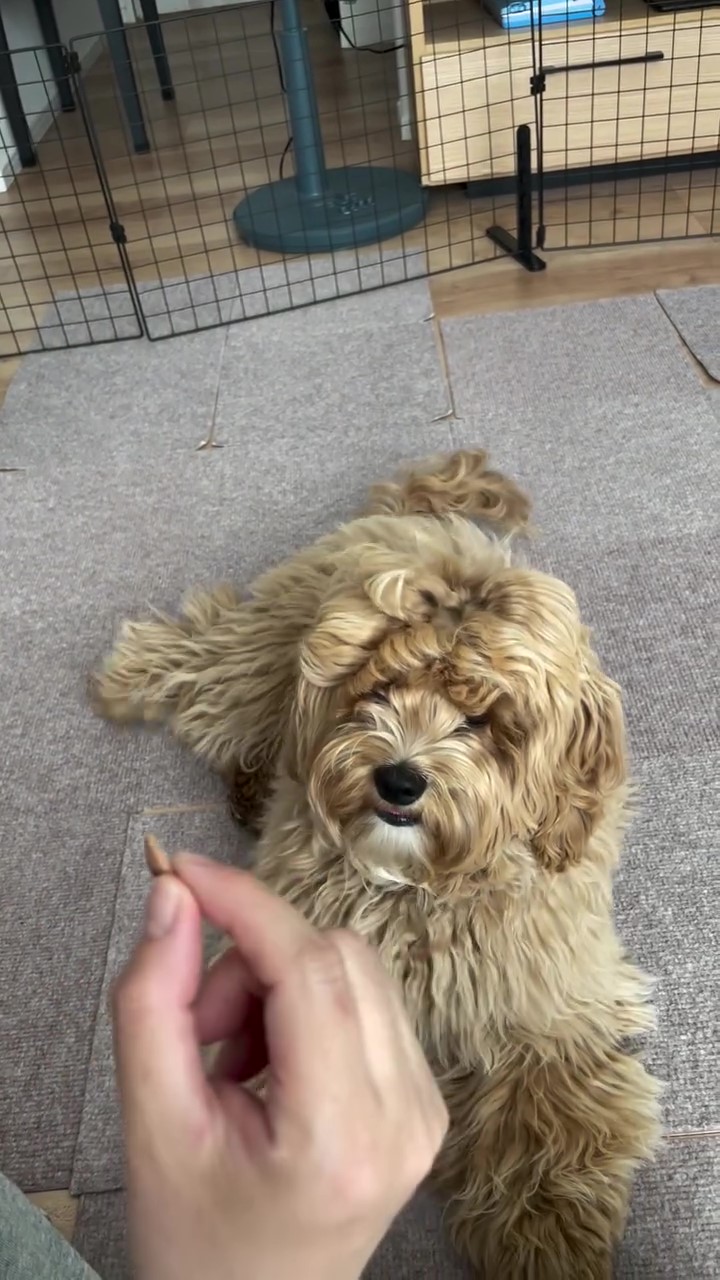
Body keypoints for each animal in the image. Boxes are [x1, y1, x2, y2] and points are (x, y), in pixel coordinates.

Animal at [92, 450, 661, 1278]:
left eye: (481, 719)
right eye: (381, 689)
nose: (398, 780)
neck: (419, 886)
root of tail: (421, 518)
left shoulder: (545, 1009)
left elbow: (546, 1133)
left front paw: (546, 1243)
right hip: (262, 659)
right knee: (210, 654)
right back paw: (132, 672)